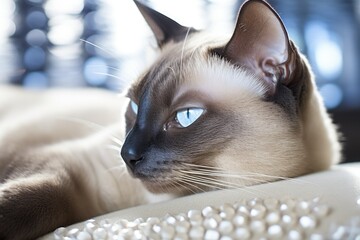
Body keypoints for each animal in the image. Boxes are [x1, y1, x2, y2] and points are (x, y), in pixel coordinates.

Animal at [0, 0, 340, 239]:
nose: (126, 154)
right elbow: (32, 200)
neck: (137, 202)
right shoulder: (66, 168)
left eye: (186, 116)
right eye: (134, 106)